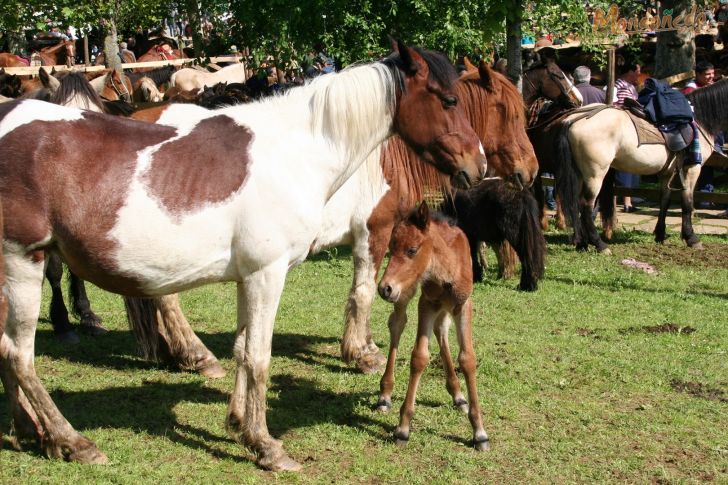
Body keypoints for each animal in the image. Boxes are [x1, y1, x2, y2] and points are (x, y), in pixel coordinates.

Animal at [376, 200, 490, 450]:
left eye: (412, 250)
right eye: (391, 248)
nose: (384, 288)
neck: (445, 271)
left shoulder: (463, 305)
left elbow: (467, 359)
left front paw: (479, 432)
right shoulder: (426, 303)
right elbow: (419, 357)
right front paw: (403, 428)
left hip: (441, 305)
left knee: (441, 330)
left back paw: (458, 395)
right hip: (406, 290)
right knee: (397, 324)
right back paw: (385, 394)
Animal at [552, 79, 728, 251]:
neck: (699, 120)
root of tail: (573, 120)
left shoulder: (668, 173)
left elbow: (665, 200)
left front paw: (660, 234)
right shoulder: (691, 169)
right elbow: (687, 202)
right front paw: (691, 238)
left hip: (579, 174)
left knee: (576, 203)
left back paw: (581, 243)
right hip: (595, 174)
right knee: (586, 205)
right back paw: (599, 244)